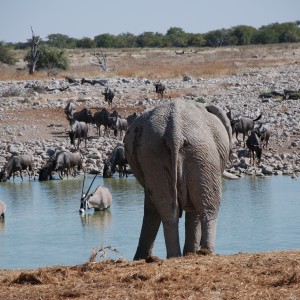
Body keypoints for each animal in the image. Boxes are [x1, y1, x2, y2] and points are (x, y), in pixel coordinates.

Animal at [123, 101, 233, 260]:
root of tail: (174, 133)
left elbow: (151, 207)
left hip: (155, 155)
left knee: (168, 209)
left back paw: (175, 256)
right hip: (202, 153)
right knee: (209, 206)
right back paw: (205, 253)